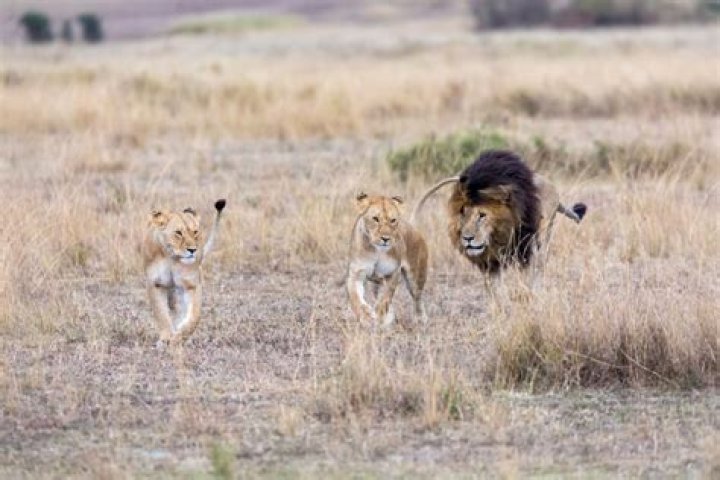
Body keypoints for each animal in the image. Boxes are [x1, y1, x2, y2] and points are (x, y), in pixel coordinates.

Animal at [142, 199, 226, 346]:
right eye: (178, 233)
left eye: (195, 232)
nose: (193, 250)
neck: (171, 257)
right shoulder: (155, 284)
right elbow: (161, 314)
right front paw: (165, 338)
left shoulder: (191, 284)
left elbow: (194, 317)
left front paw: (178, 336)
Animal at [346, 193, 429, 328]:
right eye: (375, 219)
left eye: (393, 220)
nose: (385, 239)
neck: (377, 250)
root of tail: (411, 226)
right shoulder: (356, 274)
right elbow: (356, 299)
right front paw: (367, 317)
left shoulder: (392, 273)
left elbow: (385, 299)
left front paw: (379, 317)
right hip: (376, 283)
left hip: (416, 278)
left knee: (418, 299)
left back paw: (421, 319)